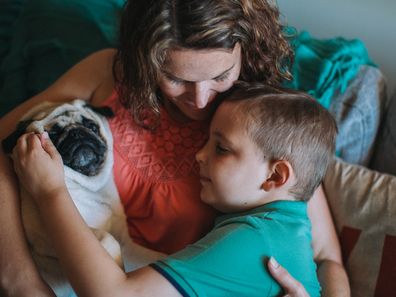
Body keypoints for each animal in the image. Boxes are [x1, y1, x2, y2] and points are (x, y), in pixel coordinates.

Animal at [1, 99, 166, 296]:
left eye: (91, 126)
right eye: (53, 135)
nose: (76, 133)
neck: (88, 188)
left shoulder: (127, 243)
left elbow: (147, 255)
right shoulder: (48, 239)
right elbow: (108, 239)